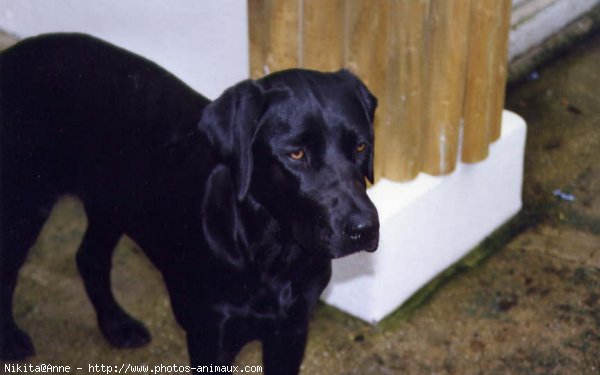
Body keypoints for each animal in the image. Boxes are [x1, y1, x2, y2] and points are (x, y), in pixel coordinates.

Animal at [0, 33, 378, 374]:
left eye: (360, 146)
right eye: (296, 154)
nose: (365, 228)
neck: (272, 253)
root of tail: (11, 55)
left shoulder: (291, 332)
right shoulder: (211, 336)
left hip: (112, 203)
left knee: (89, 257)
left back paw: (117, 325)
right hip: (25, 203)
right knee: (11, 269)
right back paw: (11, 339)